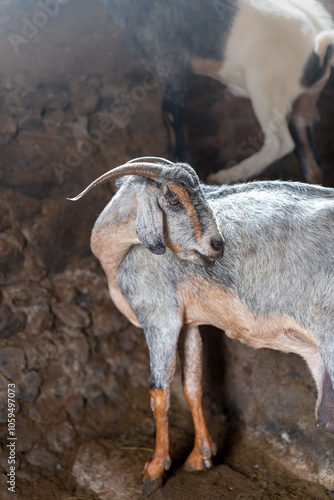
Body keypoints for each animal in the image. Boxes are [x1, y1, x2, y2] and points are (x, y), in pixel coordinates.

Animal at [70, 158, 334, 494]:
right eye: (172, 198)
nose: (217, 245)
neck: (117, 253)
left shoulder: (161, 316)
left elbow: (159, 392)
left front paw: (154, 471)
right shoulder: (188, 323)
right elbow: (193, 385)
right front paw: (201, 457)